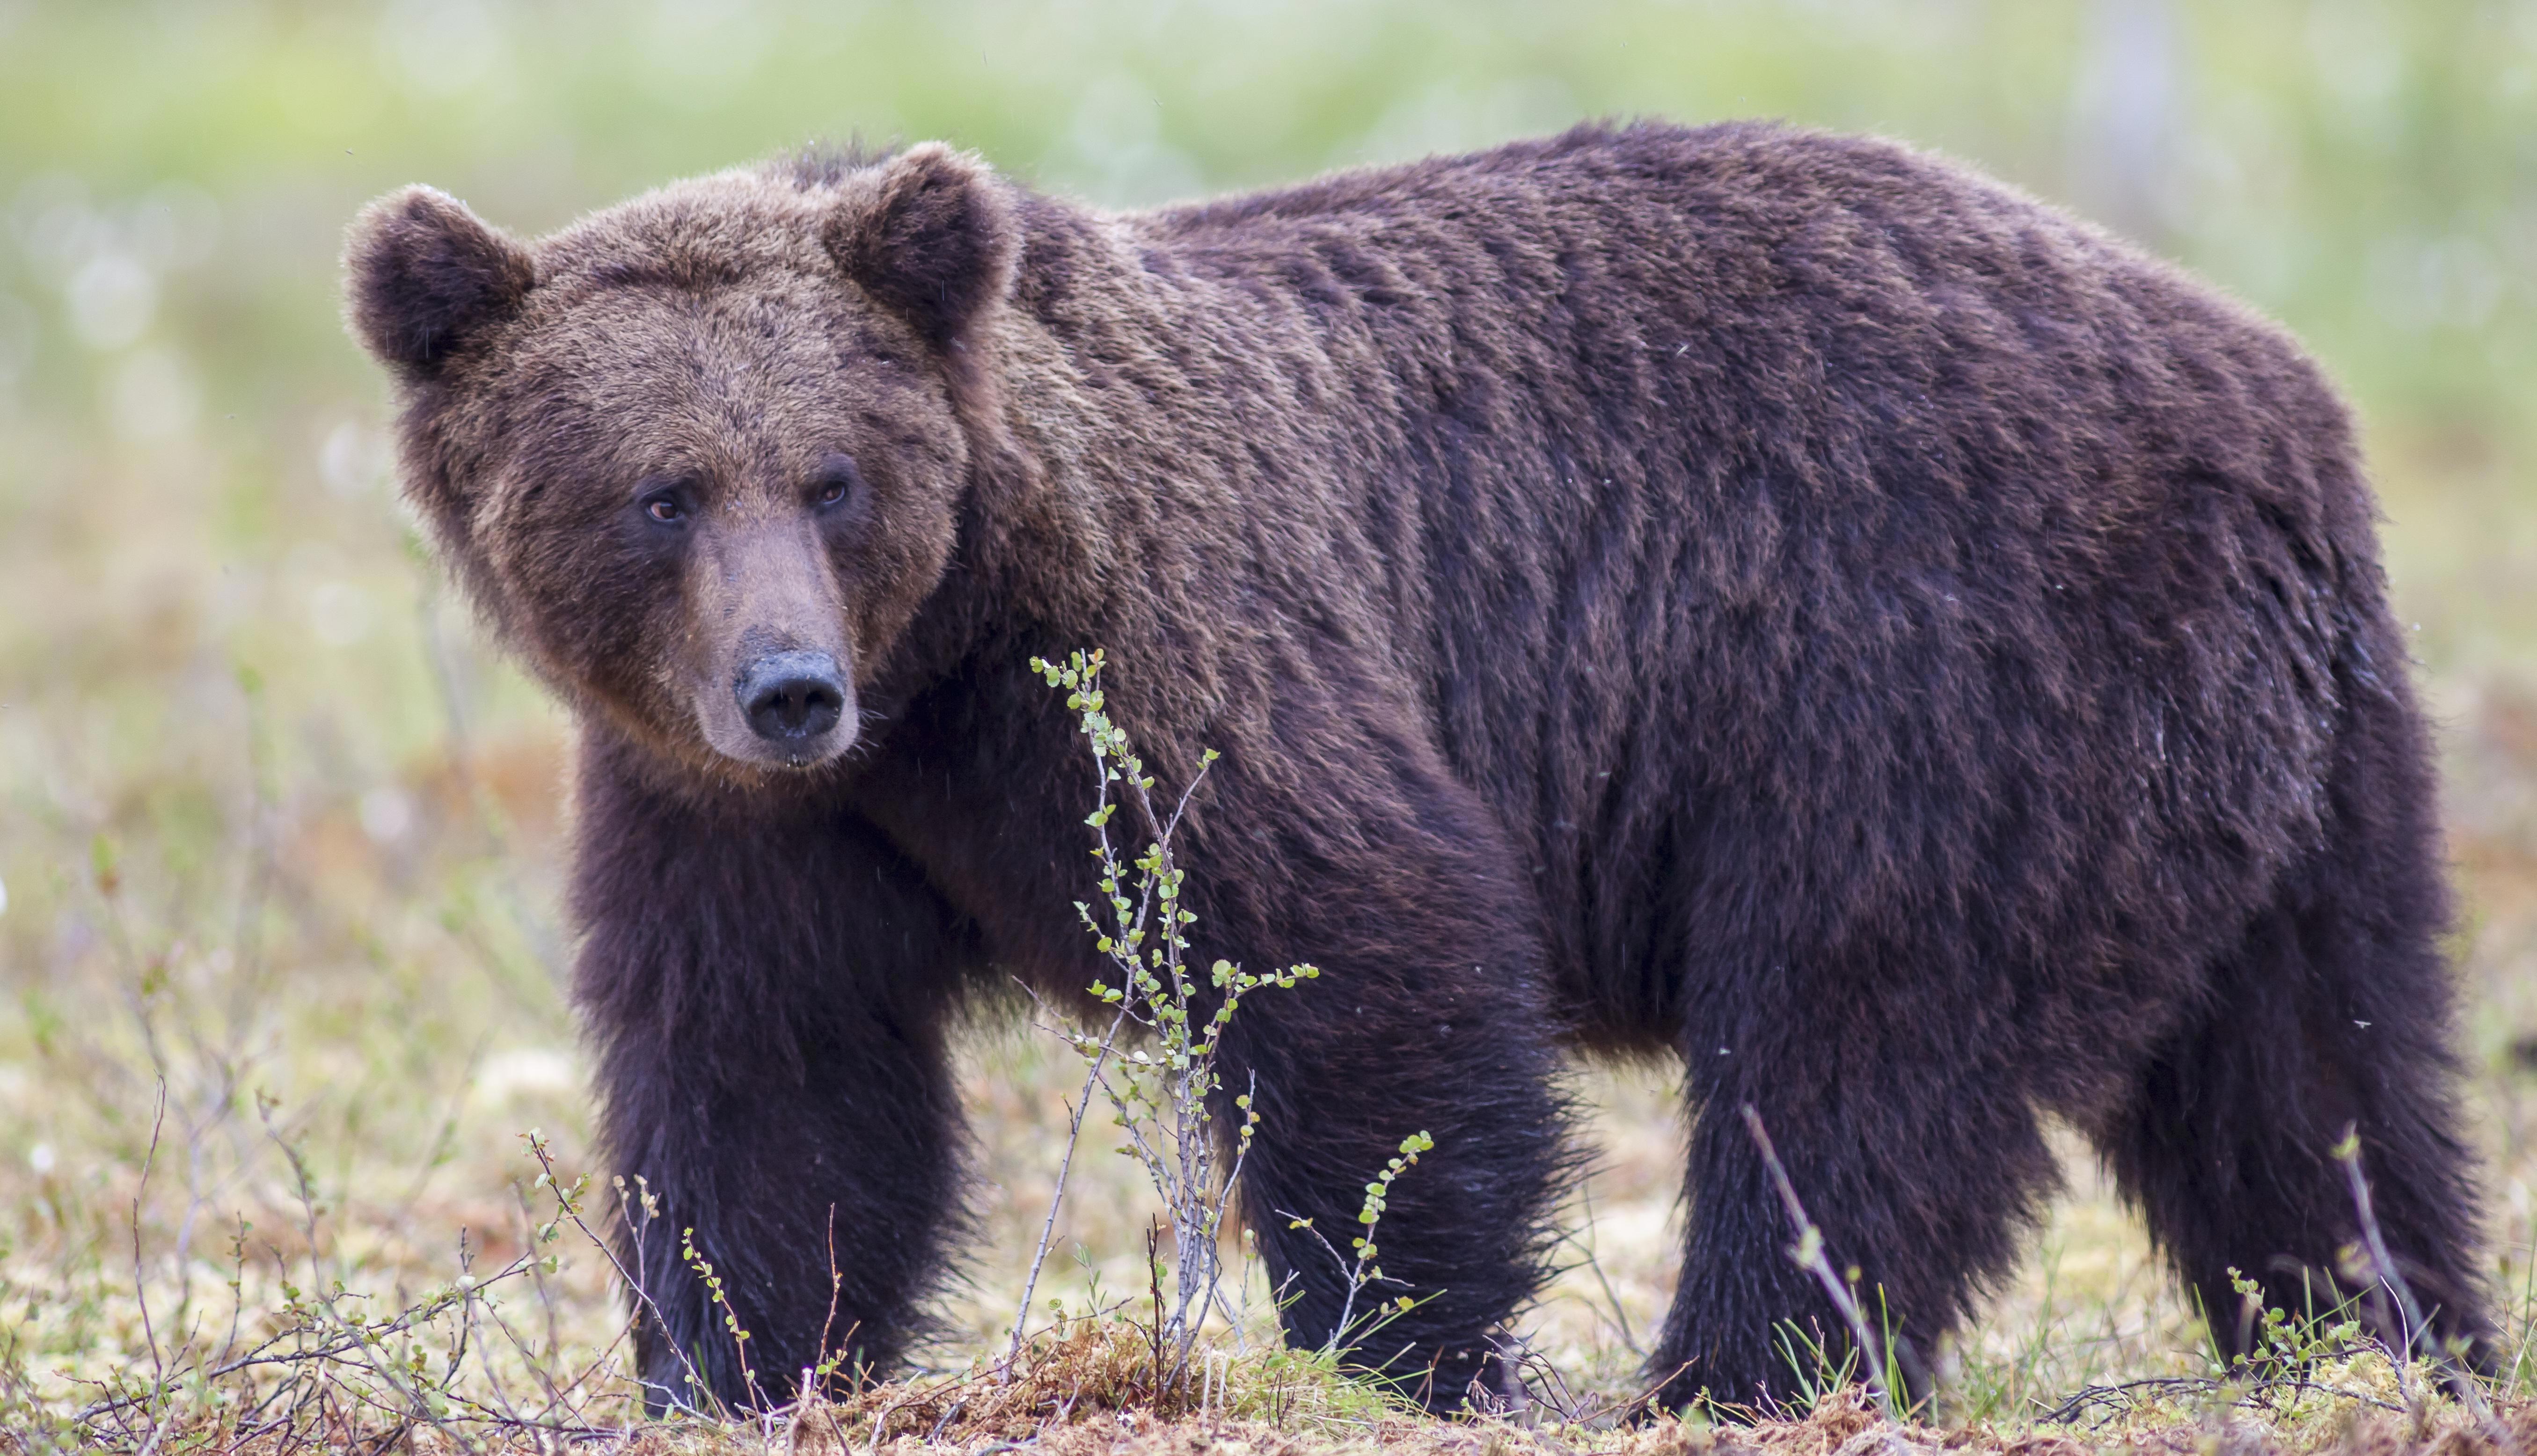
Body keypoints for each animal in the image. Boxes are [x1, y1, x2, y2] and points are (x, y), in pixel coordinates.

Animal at [344, 120, 2490, 1414]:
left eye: (831, 475)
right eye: (658, 490)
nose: (786, 684)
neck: (942, 663)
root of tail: (2269, 393)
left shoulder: (1164, 641)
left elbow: (1365, 949)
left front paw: (1403, 1347)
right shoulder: (743, 814)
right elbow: (769, 1086)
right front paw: (743, 1362)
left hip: (1931, 680)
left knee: (1854, 1059)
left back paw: (1722, 1372)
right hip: (2289, 775)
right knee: (2311, 1089)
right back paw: (2382, 1347)